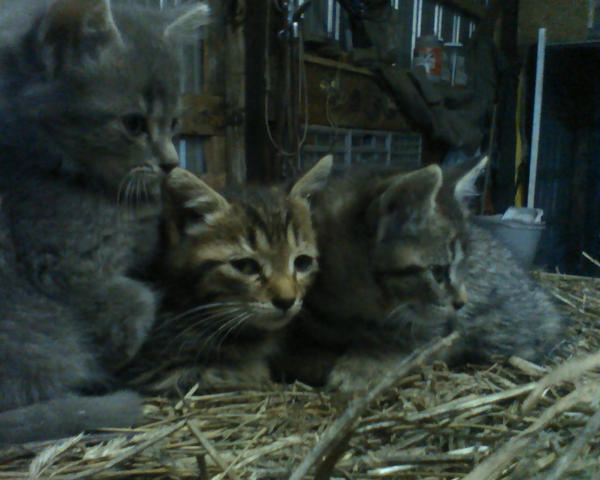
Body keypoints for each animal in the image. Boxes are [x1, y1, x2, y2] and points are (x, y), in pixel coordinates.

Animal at [278, 159, 564, 392]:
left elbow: (414, 344)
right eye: (438, 271)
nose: (461, 302)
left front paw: (363, 364)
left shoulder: (442, 328)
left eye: (462, 265)